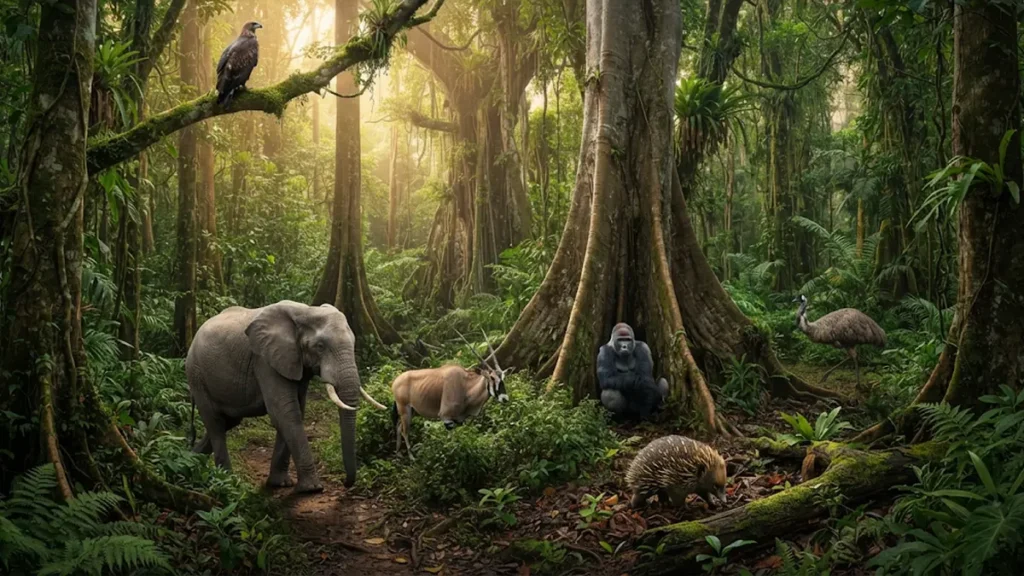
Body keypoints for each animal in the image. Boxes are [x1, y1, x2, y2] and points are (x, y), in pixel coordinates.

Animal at [186, 300, 387, 491]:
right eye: (320, 346)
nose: (345, 483)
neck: (306, 311)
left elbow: (295, 410)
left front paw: (280, 484)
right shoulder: (265, 360)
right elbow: (285, 413)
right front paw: (312, 488)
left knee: (228, 422)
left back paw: (190, 462)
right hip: (197, 376)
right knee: (215, 423)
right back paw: (227, 480)